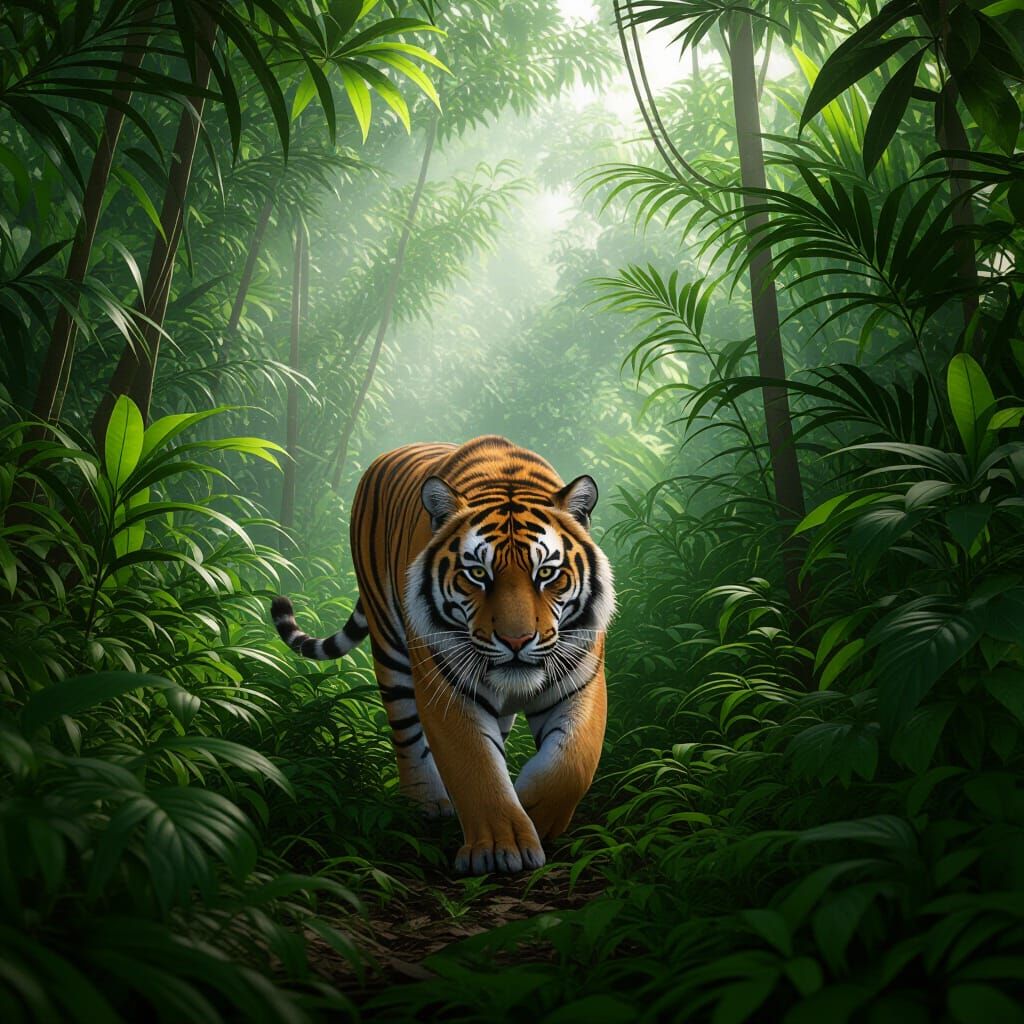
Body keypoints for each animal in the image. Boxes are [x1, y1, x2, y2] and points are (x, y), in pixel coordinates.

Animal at [271, 435, 614, 875]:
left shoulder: (581, 679)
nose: (516, 640)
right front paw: (501, 848)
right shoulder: (445, 685)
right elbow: (475, 766)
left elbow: (571, 763)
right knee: (406, 731)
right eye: (478, 574)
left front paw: (535, 812)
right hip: (390, 644)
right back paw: (427, 800)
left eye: (546, 574)